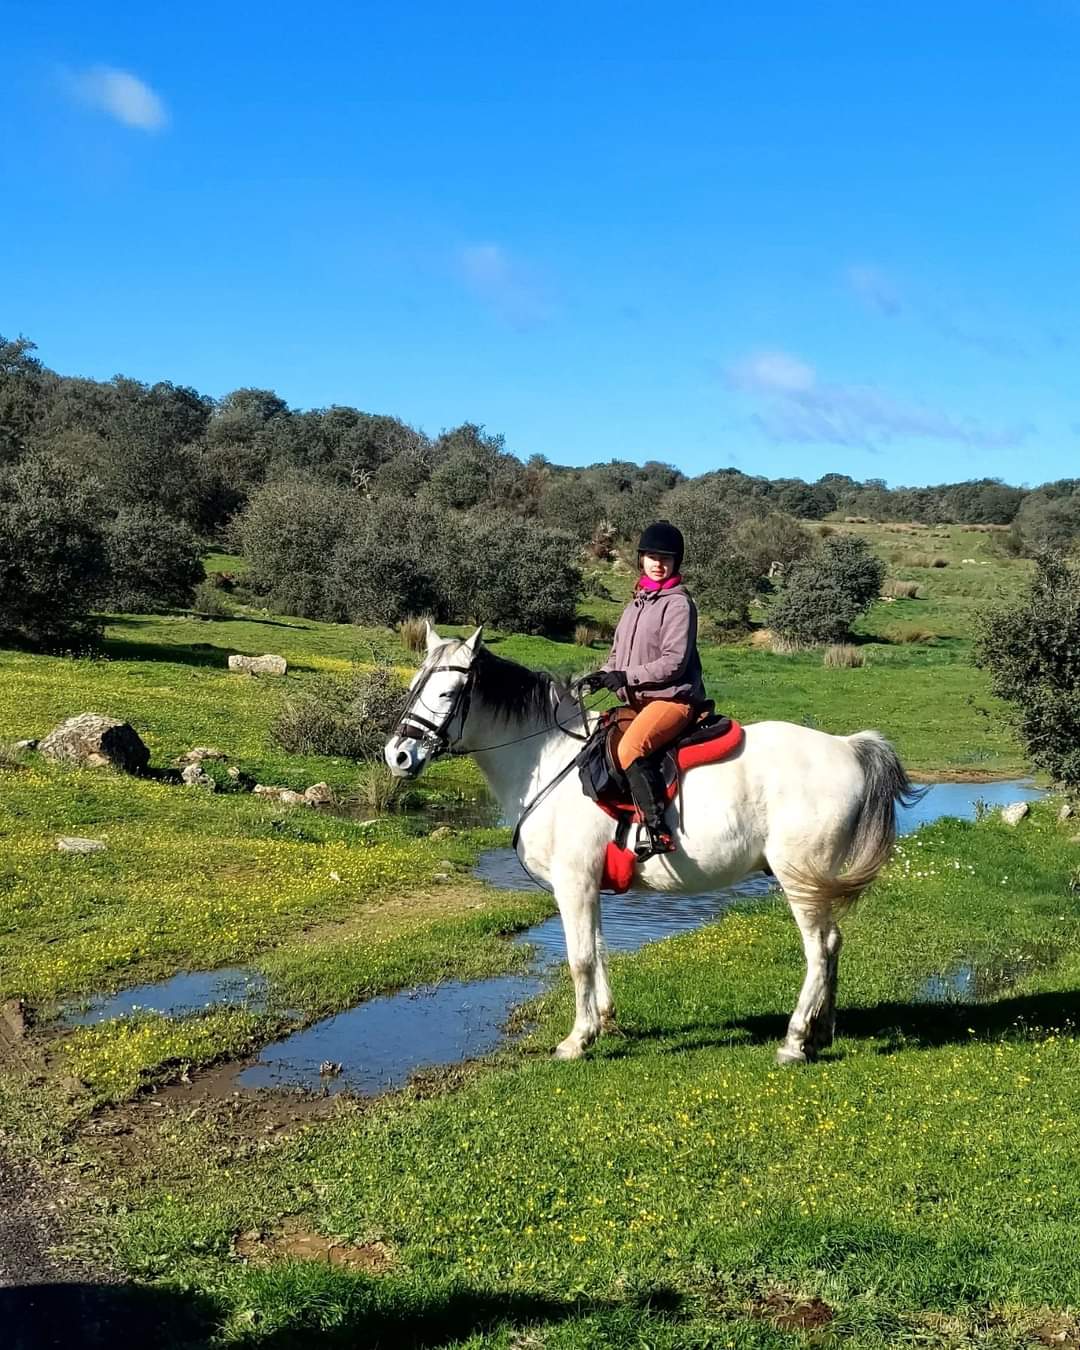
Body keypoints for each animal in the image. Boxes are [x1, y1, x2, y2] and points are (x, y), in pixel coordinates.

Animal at [385, 624, 921, 1066]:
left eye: (448, 691)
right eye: (414, 686)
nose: (398, 755)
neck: (548, 760)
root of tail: (847, 747)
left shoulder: (572, 882)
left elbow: (579, 959)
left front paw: (576, 1040)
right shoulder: (589, 886)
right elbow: (598, 950)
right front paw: (603, 1023)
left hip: (800, 881)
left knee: (818, 949)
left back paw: (794, 1041)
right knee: (833, 944)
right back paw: (821, 1032)